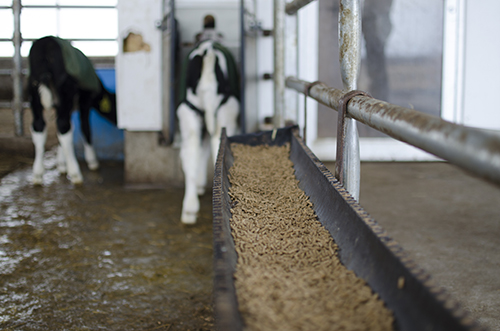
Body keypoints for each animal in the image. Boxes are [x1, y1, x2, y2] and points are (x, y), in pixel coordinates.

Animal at [28, 37, 116, 185]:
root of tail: (45, 42)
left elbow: (62, 134)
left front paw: (61, 164)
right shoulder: (84, 100)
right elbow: (84, 127)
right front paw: (92, 161)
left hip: (34, 90)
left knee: (39, 125)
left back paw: (37, 174)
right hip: (65, 89)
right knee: (63, 125)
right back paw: (75, 173)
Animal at [178, 40, 240, 224]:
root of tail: (207, 50)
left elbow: (201, 150)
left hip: (188, 113)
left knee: (190, 152)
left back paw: (189, 209)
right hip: (226, 112)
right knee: (218, 146)